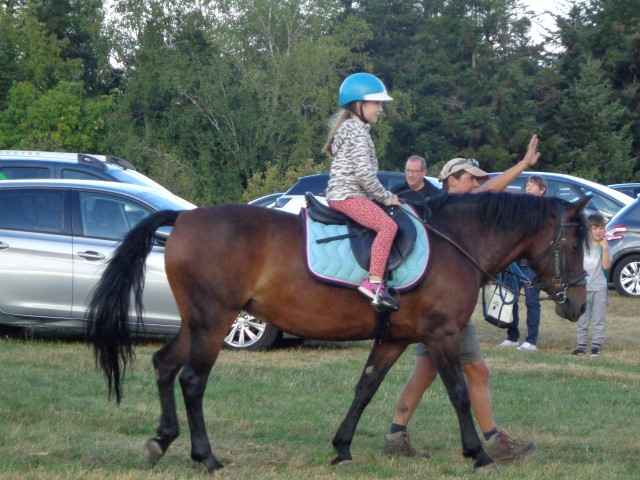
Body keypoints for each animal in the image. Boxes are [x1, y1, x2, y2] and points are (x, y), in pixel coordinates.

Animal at [86, 191, 589, 473]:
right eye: (571, 243)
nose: (579, 304)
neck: (456, 243)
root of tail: (185, 217)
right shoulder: (442, 335)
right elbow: (460, 393)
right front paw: (479, 455)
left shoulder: (393, 338)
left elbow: (366, 388)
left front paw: (342, 448)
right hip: (214, 320)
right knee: (192, 379)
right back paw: (205, 456)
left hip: (196, 323)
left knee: (164, 365)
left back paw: (162, 440)